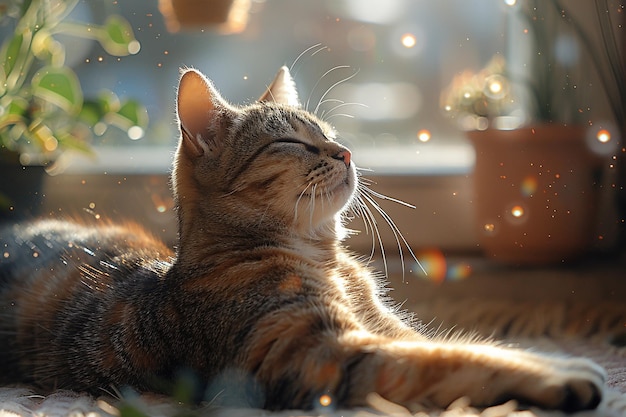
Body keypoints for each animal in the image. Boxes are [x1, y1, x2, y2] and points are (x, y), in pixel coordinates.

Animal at [0, 66, 604, 412]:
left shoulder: (386, 328)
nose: (347, 152)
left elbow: (460, 345)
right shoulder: (325, 353)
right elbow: (450, 360)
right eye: (293, 141)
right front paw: (562, 373)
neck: (325, 259)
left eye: (329, 134)